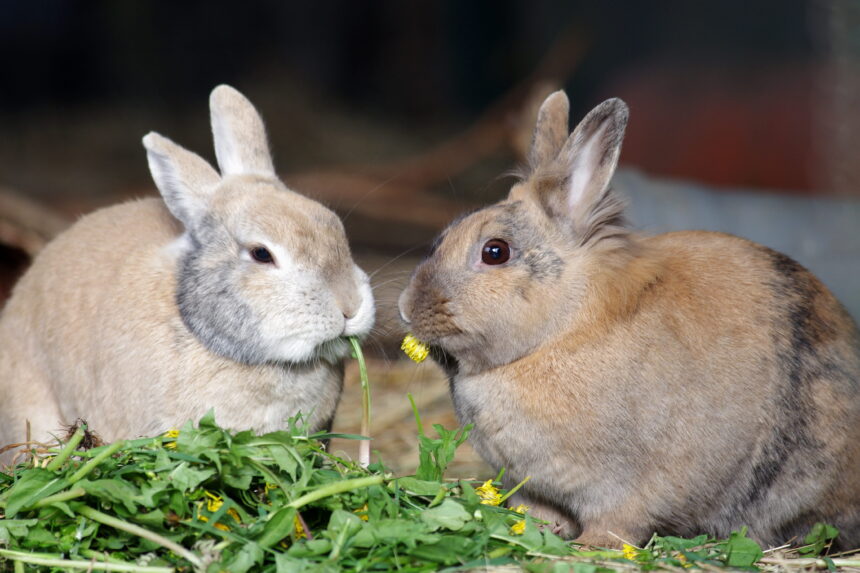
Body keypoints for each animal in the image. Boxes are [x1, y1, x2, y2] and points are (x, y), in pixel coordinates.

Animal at [398, 91, 860, 550]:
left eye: (495, 251)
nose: (405, 308)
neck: (561, 332)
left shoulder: (631, 491)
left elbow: (617, 524)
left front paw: (587, 548)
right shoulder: (531, 486)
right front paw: (540, 532)